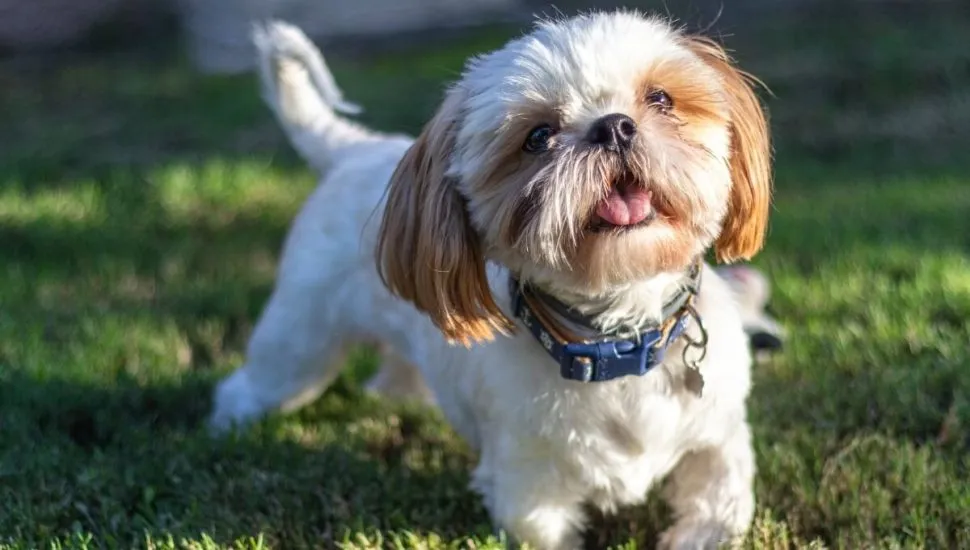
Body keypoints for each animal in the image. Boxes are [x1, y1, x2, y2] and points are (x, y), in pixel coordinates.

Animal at [210, 12, 772, 549]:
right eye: (538, 137)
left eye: (661, 98)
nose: (613, 127)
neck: (616, 346)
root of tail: (352, 149)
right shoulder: (529, 485)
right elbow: (542, 526)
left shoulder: (719, 437)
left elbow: (720, 507)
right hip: (299, 345)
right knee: (253, 385)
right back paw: (227, 428)